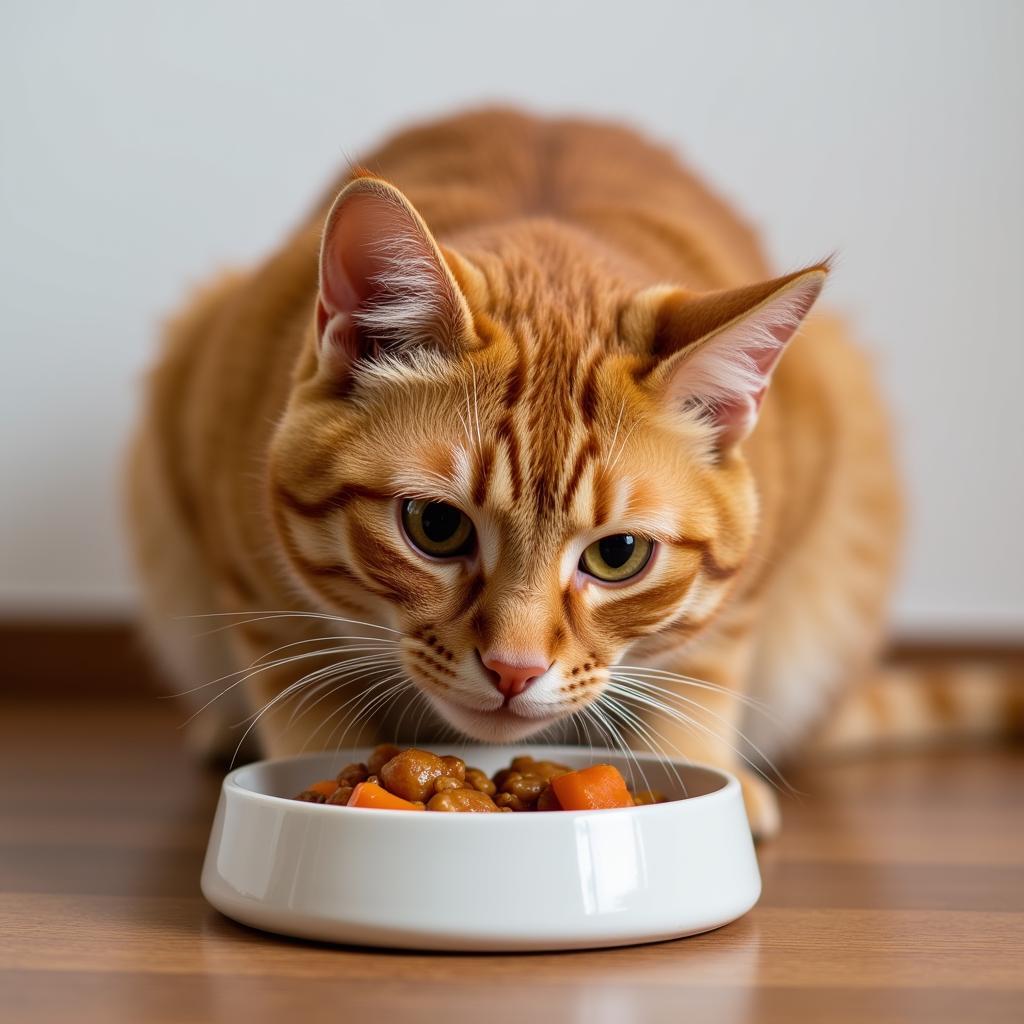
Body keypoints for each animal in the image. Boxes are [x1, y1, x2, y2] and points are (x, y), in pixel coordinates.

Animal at [128, 108, 905, 835]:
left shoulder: (747, 589)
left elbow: (702, 678)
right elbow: (302, 697)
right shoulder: (254, 582)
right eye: (435, 526)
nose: (514, 669)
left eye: (620, 554)